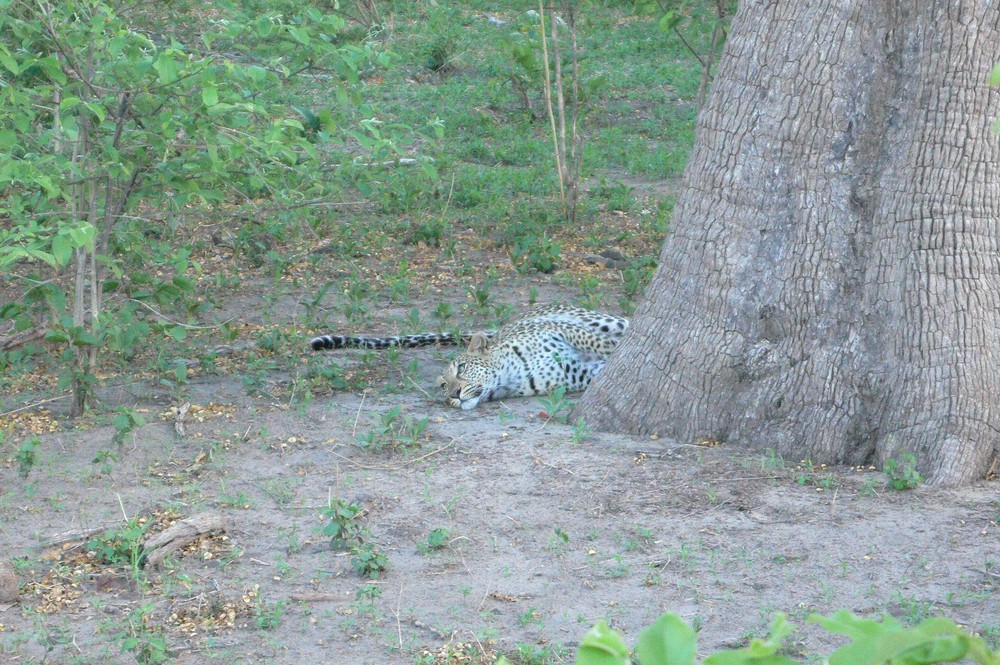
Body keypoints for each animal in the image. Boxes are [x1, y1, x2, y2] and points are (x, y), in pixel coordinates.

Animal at [308, 304, 628, 408]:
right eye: (442, 385)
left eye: (461, 369)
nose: (454, 394)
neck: (512, 375)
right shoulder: (577, 373)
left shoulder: (562, 329)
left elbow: (600, 343)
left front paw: (615, 347)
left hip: (596, 318)